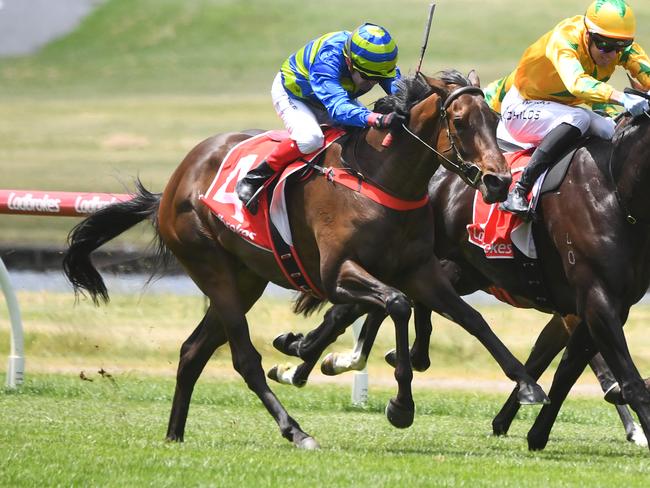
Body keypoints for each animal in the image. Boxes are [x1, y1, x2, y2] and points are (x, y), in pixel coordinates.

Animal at [63, 70, 548, 448]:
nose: (499, 182)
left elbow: (472, 319)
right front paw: (399, 405)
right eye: (461, 121)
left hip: (245, 278)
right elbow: (396, 305)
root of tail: (175, 182)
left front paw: (527, 385)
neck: (379, 178)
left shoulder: (420, 270)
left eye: (496, 118)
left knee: (192, 351)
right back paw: (295, 430)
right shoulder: (338, 274)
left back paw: (174, 434)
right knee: (243, 360)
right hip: (211, 267)